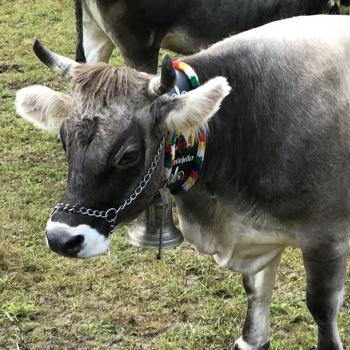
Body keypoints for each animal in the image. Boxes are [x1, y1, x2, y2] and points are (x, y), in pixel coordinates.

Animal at [17, 15, 350, 350]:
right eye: (64, 139)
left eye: (129, 155)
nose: (61, 238)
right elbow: (255, 289)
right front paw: (252, 337)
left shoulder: (326, 239)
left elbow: (321, 310)